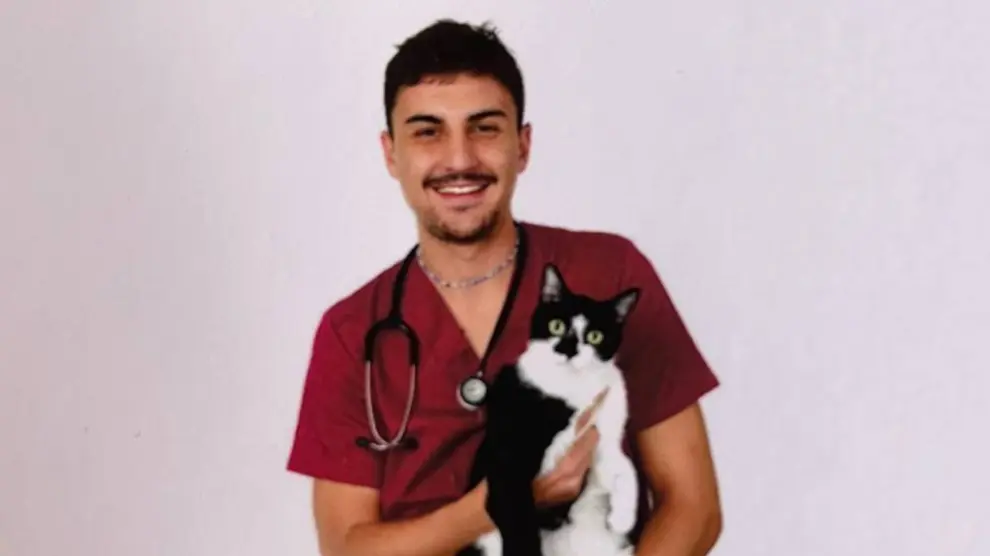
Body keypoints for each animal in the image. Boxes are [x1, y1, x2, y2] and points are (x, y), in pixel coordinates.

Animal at [457, 262, 644, 556]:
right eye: (556, 325)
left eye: (595, 336)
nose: (568, 348)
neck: (573, 386)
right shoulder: (508, 457)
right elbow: (517, 516)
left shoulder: (600, 439)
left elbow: (624, 467)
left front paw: (623, 518)